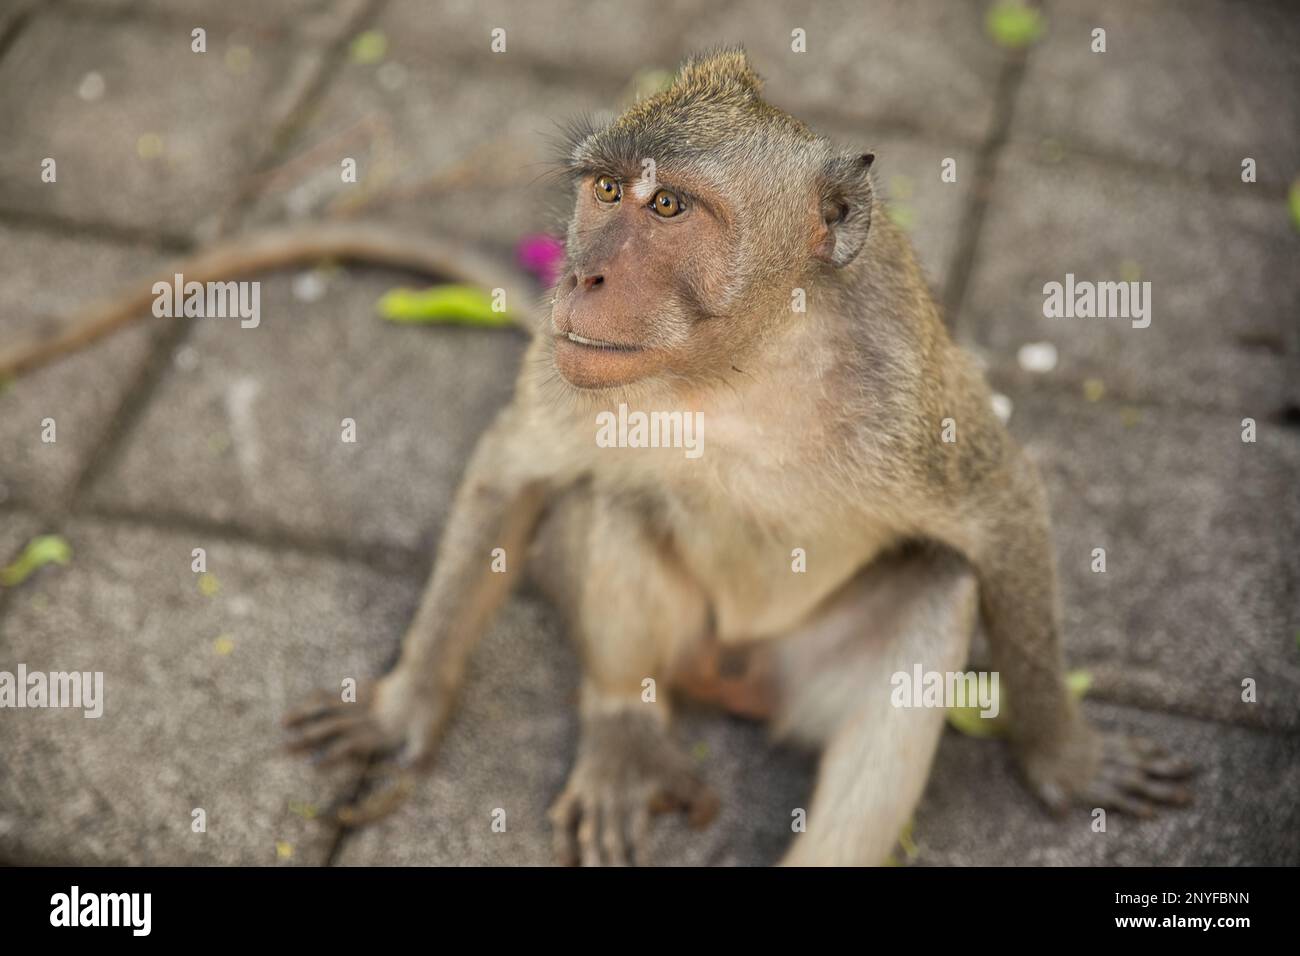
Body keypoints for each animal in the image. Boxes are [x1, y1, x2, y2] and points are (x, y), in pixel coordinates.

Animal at [282, 46, 1190, 868]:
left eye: (669, 205)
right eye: (605, 190)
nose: (580, 276)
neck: (738, 366)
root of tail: (734, 676)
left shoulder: (908, 394)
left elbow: (1004, 508)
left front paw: (1066, 757)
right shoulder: (565, 368)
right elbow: (516, 468)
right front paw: (403, 710)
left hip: (804, 669)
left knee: (939, 579)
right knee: (617, 499)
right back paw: (623, 732)